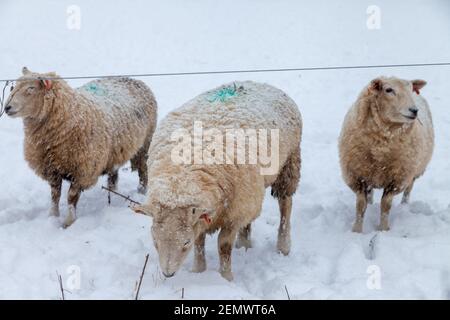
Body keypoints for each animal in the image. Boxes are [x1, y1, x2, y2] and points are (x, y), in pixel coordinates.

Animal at [3, 67, 156, 228]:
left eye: (31, 88)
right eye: (14, 87)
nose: (7, 107)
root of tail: (134, 80)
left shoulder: (82, 170)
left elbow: (71, 197)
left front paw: (68, 221)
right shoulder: (52, 169)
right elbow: (55, 195)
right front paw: (53, 216)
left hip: (145, 144)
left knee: (143, 169)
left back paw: (141, 191)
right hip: (115, 151)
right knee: (113, 173)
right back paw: (112, 191)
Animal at [134, 81, 302, 282]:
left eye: (185, 242)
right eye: (155, 240)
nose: (168, 274)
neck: (183, 178)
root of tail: (257, 83)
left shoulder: (233, 216)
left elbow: (223, 246)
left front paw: (226, 277)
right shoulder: (217, 213)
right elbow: (200, 242)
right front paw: (198, 270)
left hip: (288, 165)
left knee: (285, 206)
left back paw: (283, 245)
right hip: (250, 192)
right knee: (250, 219)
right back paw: (244, 244)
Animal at [340, 77, 434, 232]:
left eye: (410, 89)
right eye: (388, 90)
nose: (414, 110)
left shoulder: (396, 179)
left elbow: (385, 206)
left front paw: (383, 229)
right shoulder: (358, 175)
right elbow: (360, 205)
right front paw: (357, 230)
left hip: (414, 171)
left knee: (408, 190)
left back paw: (404, 205)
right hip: (370, 172)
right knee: (370, 193)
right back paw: (371, 203)